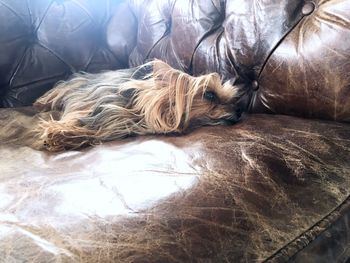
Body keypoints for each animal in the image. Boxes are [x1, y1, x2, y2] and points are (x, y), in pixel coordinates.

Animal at [33, 59, 246, 152]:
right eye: (209, 94)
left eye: (232, 99)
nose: (240, 110)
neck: (135, 112)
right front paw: (56, 134)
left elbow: (91, 132)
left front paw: (61, 136)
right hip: (73, 87)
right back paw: (40, 103)